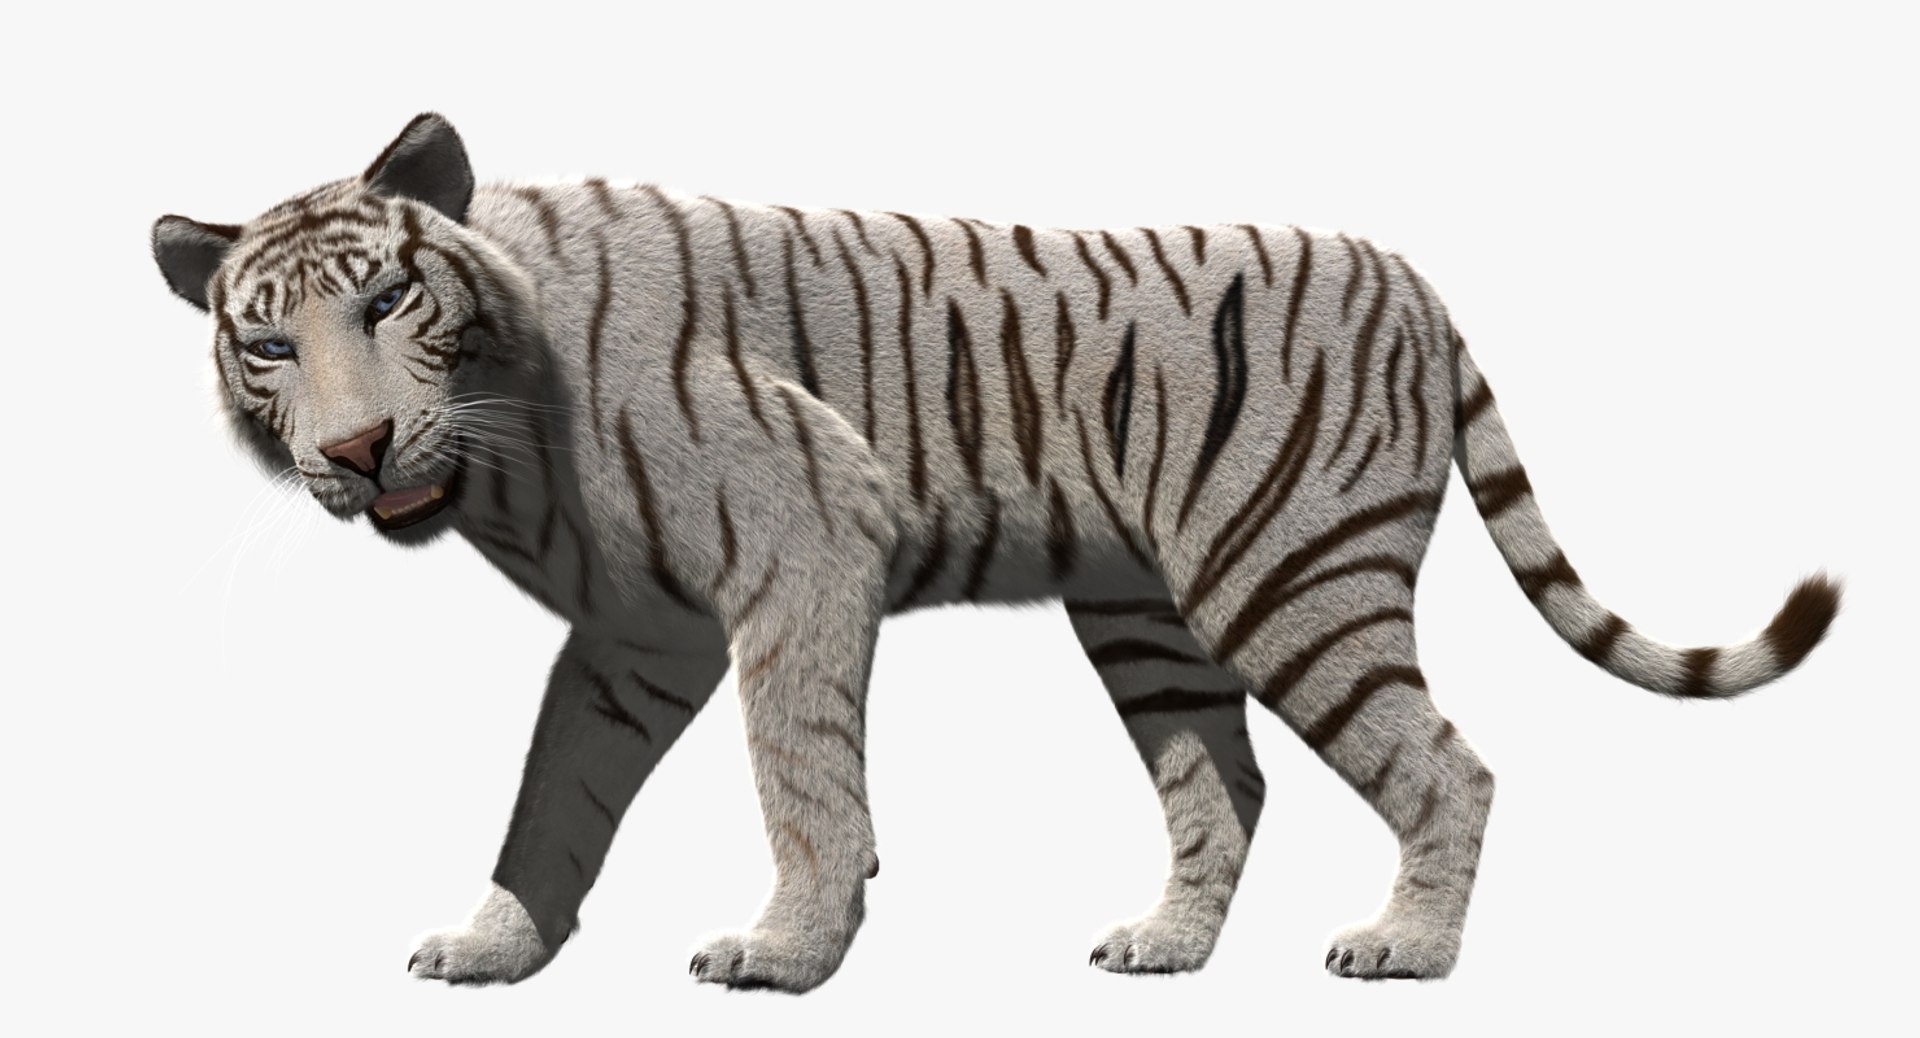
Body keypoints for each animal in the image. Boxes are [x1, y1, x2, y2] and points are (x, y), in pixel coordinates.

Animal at [151, 113, 1839, 991]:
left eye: (384, 304)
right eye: (268, 345)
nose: (355, 451)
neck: (510, 443)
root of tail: (1410, 273)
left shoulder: (804, 536)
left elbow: (799, 767)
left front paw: (788, 949)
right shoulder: (638, 630)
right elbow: (554, 785)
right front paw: (495, 942)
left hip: (1291, 579)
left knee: (1448, 761)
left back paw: (1404, 949)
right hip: (1153, 617)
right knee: (1226, 783)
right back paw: (1164, 945)